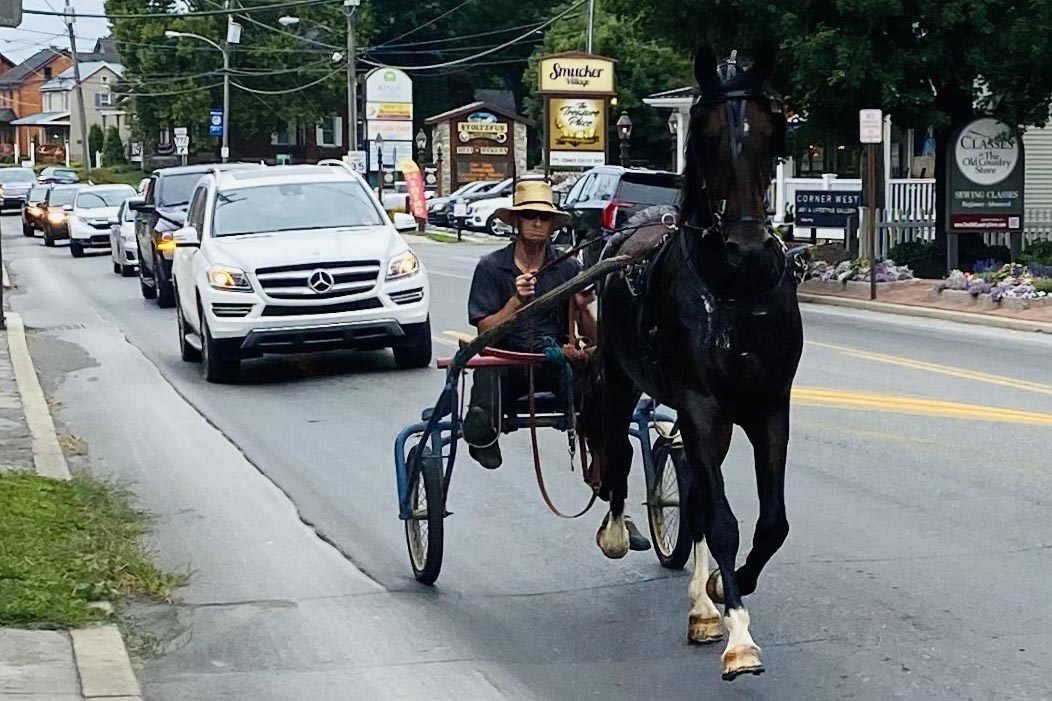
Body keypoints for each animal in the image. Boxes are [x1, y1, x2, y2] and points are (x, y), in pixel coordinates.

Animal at [589, 43, 799, 677]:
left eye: (772, 129)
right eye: (702, 134)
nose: (748, 245)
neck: (734, 290)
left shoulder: (767, 407)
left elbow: (771, 521)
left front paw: (726, 592)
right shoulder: (702, 406)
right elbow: (724, 521)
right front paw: (739, 638)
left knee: (696, 492)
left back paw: (703, 606)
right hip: (621, 378)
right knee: (615, 447)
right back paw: (616, 531)